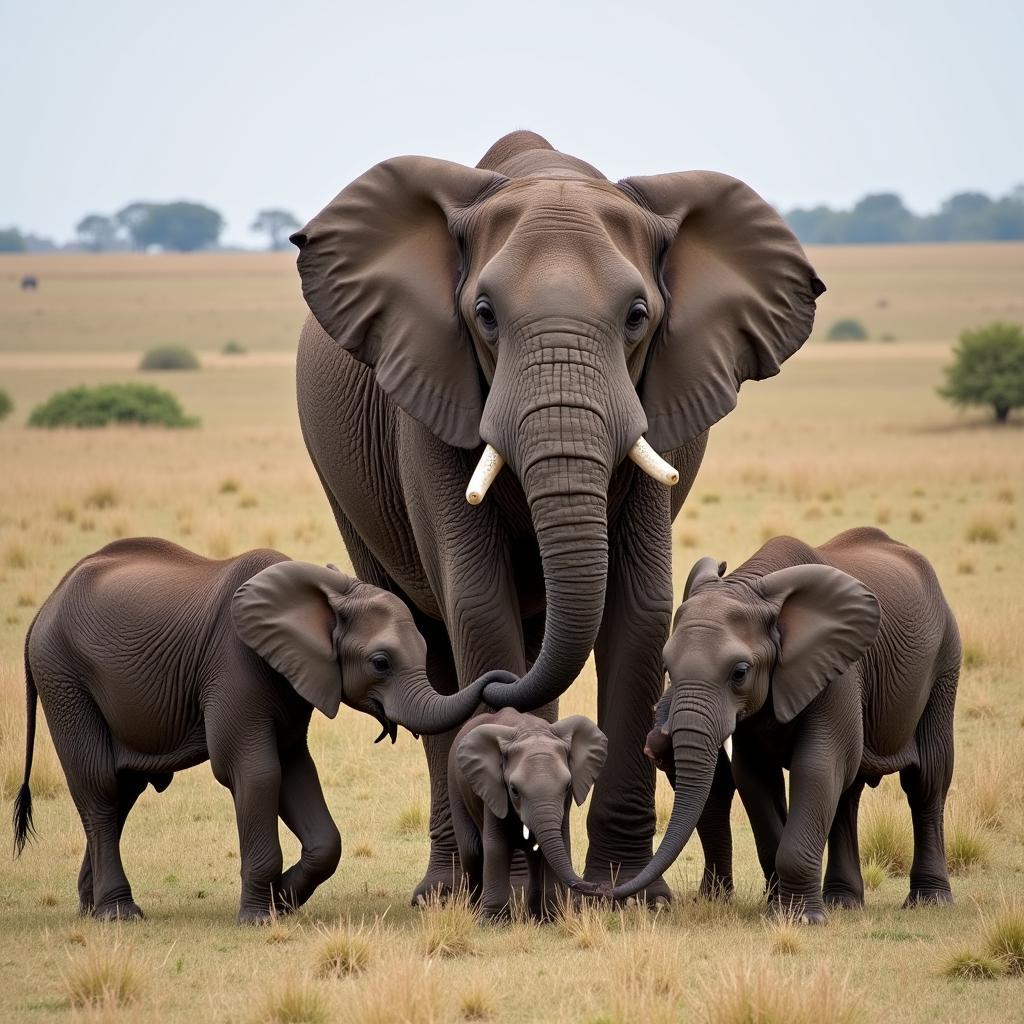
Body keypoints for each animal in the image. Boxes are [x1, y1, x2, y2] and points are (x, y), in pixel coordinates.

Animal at [12, 540, 499, 925]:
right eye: (380, 663)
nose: (499, 680)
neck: (324, 595)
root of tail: (40, 613)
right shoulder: (235, 665)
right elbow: (256, 772)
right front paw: (259, 918)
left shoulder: (293, 679)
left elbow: (296, 771)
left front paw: (280, 901)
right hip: (65, 680)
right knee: (100, 788)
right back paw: (118, 914)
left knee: (123, 790)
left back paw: (89, 908)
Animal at [448, 712, 606, 921]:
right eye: (514, 790)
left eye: (567, 787)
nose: (601, 887)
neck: (530, 729)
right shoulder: (493, 788)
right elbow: (496, 846)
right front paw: (493, 922)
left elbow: (560, 842)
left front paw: (552, 919)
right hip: (455, 785)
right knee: (471, 849)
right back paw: (471, 911)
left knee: (534, 854)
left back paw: (535, 915)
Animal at [614, 528, 958, 921]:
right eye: (666, 667)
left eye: (740, 673)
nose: (658, 740)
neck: (749, 587)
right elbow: (755, 775)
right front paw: (779, 907)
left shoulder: (837, 670)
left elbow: (817, 765)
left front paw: (802, 919)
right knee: (847, 792)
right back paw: (842, 902)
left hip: (944, 664)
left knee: (926, 782)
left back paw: (930, 900)